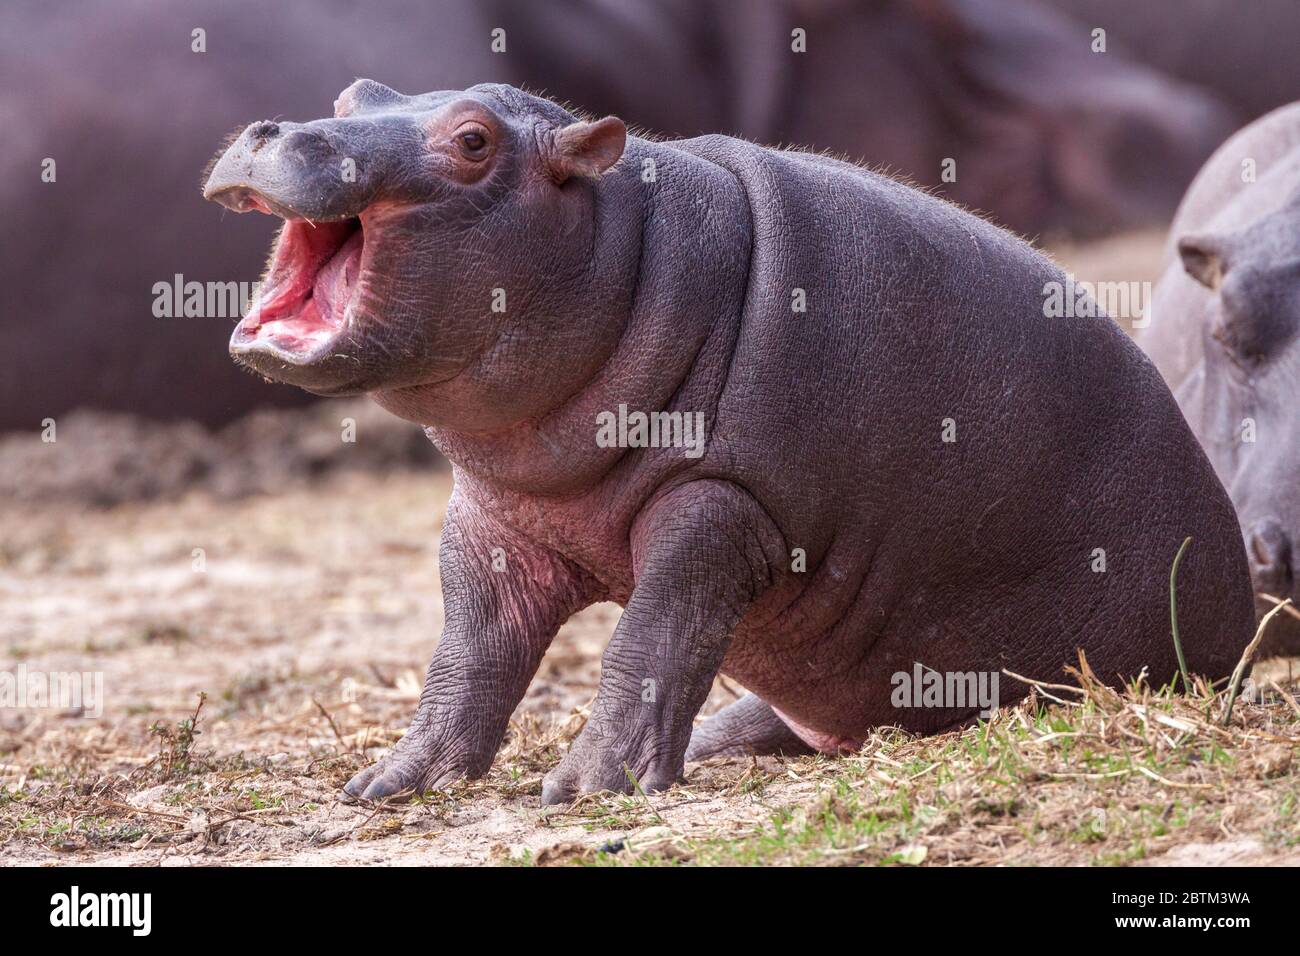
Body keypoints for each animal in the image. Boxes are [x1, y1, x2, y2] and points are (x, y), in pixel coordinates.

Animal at [205, 80, 1258, 801]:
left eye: (472, 140)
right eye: (354, 96)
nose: (273, 129)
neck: (625, 255)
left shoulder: (726, 505)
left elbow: (652, 638)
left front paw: (584, 790)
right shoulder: (493, 521)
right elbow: (468, 655)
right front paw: (389, 783)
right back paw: (718, 745)